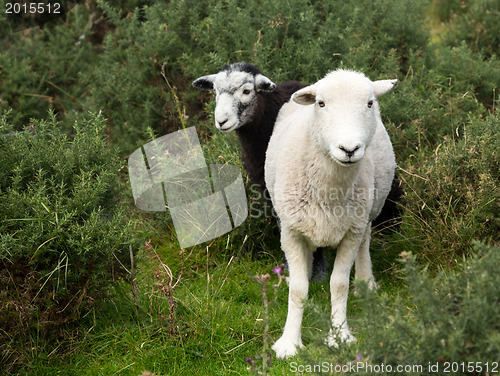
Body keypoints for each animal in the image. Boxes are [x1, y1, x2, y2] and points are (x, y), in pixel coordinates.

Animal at [264, 68, 396, 358]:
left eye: (369, 103)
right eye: (321, 104)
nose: (349, 149)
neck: (329, 191)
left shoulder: (351, 232)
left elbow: (339, 284)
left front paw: (340, 336)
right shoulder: (291, 231)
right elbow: (299, 289)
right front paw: (289, 342)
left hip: (370, 209)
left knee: (366, 241)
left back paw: (366, 282)